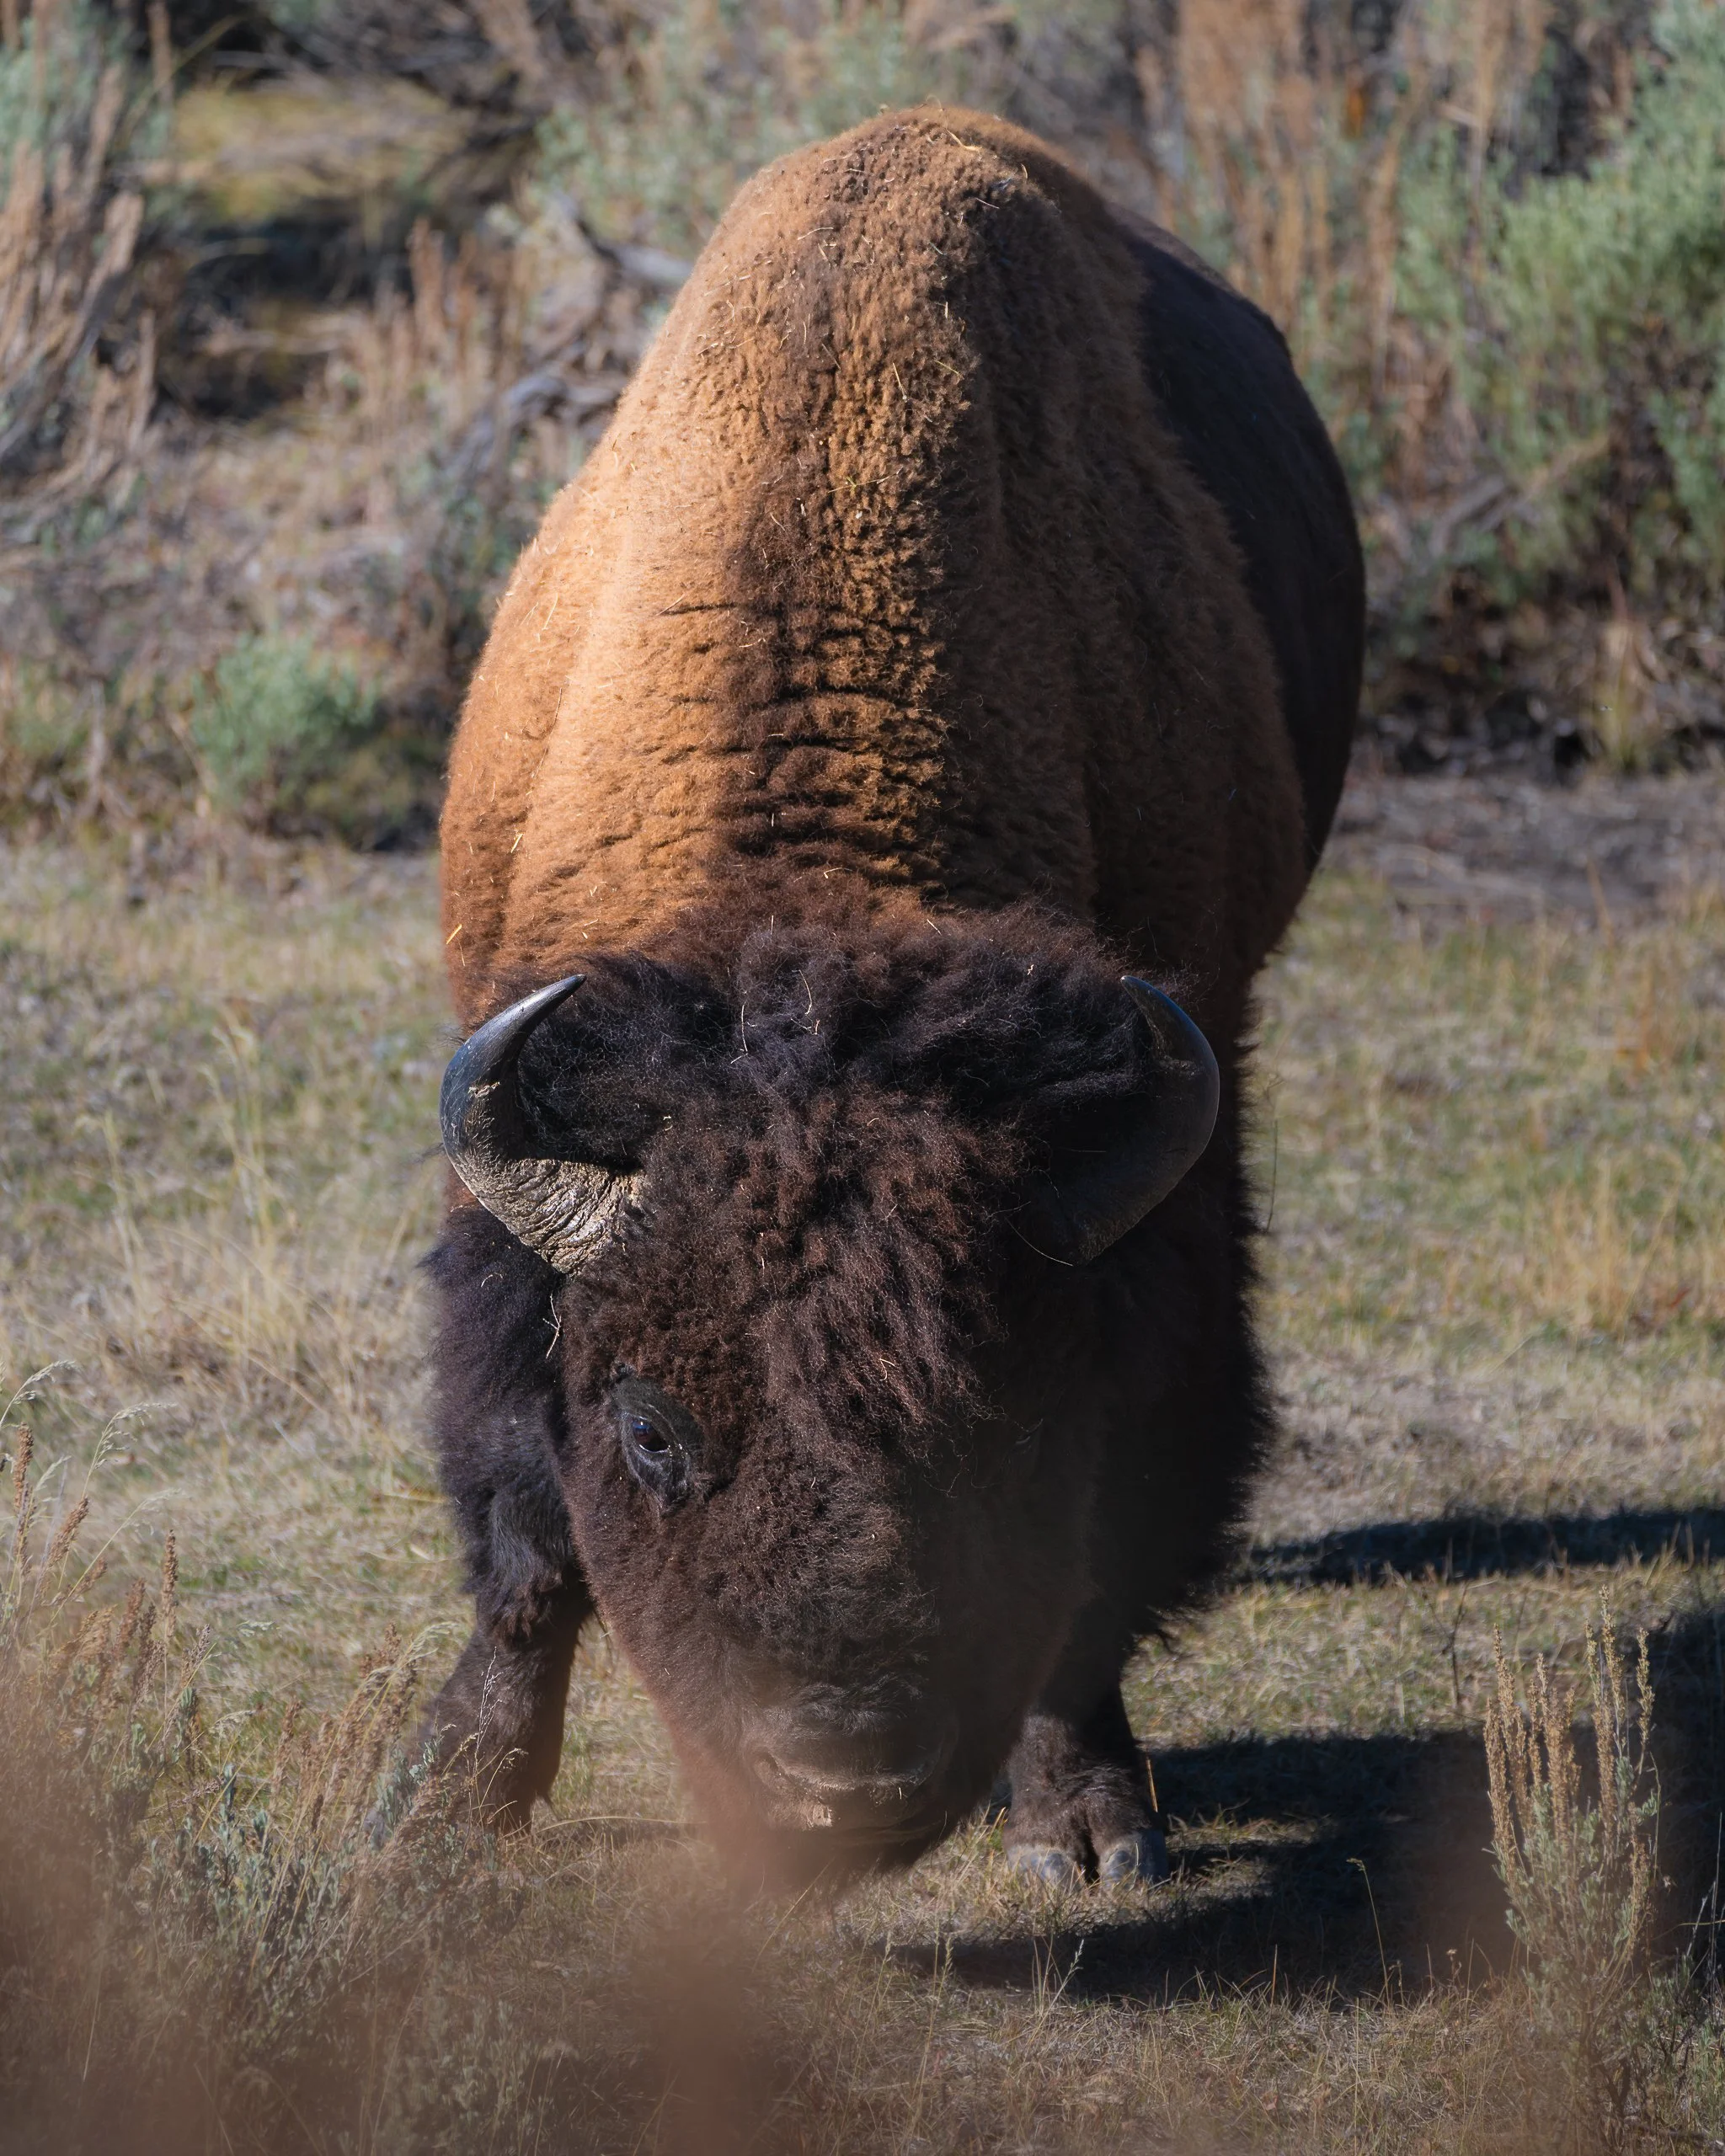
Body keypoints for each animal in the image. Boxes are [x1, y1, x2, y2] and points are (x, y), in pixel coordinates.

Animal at [419, 109, 1362, 1888]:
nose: (837, 1771)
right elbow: (521, 1533)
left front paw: (1089, 1827)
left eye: (997, 1426)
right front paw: (445, 1800)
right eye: (650, 1431)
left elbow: (1098, 1553)